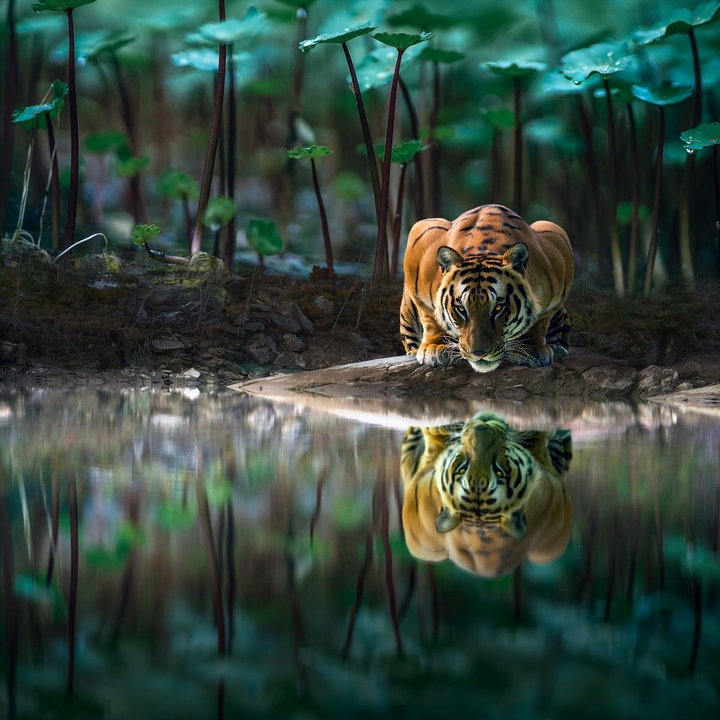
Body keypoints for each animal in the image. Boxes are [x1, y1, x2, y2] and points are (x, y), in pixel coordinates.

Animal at [399, 204, 574, 373]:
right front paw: (436, 347)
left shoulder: (558, 243)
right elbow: (430, 316)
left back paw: (558, 348)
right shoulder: (421, 237)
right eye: (461, 309)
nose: (479, 353)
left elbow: (540, 321)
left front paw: (531, 349)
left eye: (498, 308)